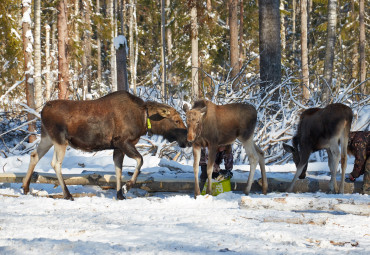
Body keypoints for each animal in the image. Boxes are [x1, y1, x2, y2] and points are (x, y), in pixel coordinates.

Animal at [22, 90, 189, 200]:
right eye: (176, 120)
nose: (187, 140)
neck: (143, 119)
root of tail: (43, 110)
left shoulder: (118, 148)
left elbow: (118, 170)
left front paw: (120, 194)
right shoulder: (122, 141)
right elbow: (140, 161)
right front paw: (128, 186)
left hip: (47, 138)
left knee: (34, 155)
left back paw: (25, 187)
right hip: (60, 139)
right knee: (55, 163)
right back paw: (67, 194)